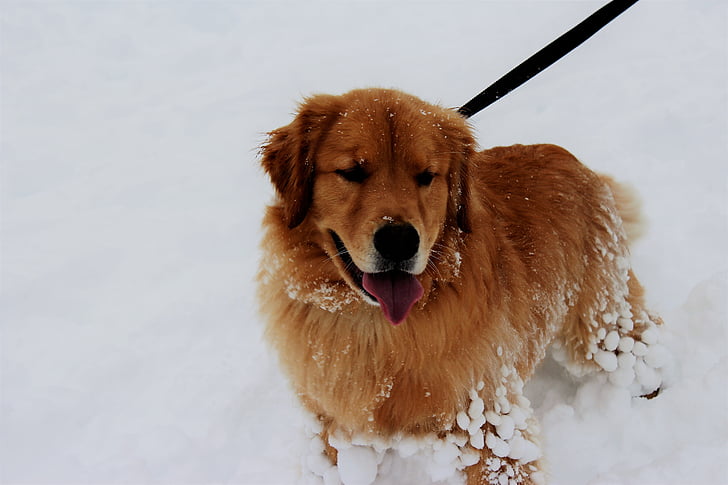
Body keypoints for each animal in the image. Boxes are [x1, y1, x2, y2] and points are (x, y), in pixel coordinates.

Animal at [258, 89, 668, 482]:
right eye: (352, 172)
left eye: (426, 175)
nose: (399, 241)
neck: (376, 329)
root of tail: (569, 158)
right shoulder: (330, 427)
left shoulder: (488, 422)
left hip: (601, 323)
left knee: (642, 345)